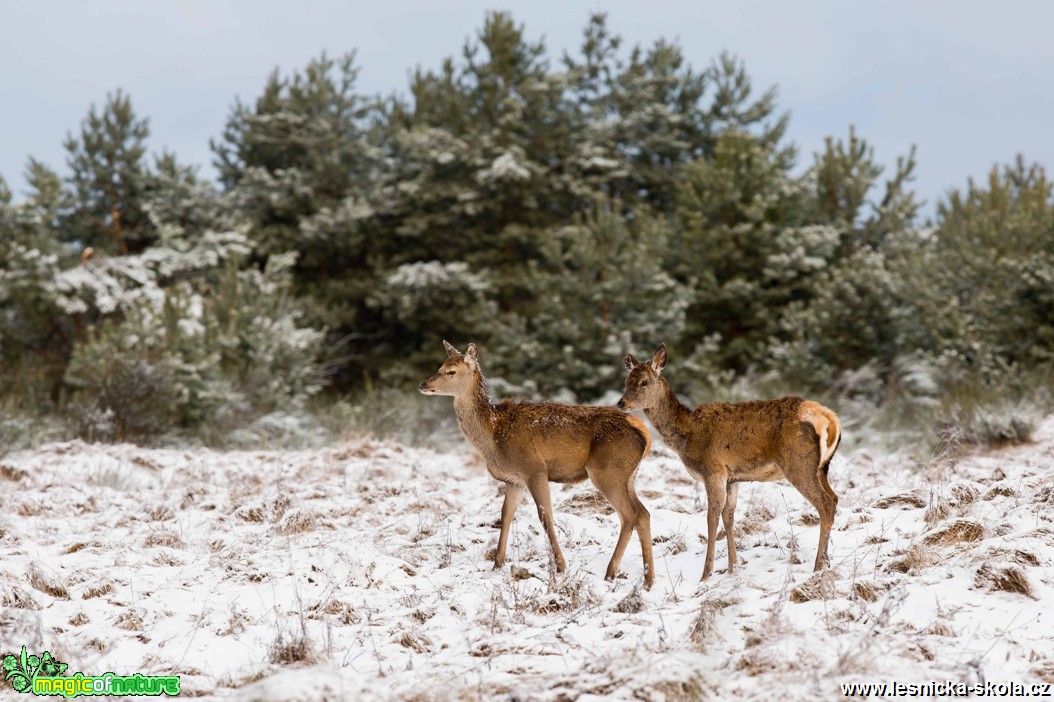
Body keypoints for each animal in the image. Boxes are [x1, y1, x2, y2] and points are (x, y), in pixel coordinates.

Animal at [421, 339, 653, 586]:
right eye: (439, 366)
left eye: (451, 371)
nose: (423, 384)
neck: (493, 435)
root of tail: (644, 432)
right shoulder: (513, 480)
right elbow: (505, 516)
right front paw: (497, 564)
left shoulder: (534, 469)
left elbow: (545, 518)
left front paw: (561, 567)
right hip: (628, 475)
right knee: (643, 513)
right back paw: (648, 579)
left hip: (608, 471)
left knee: (630, 515)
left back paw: (611, 573)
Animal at [615, 341, 838, 577]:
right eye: (626, 381)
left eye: (644, 382)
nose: (621, 403)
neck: (687, 434)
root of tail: (829, 419)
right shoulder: (731, 478)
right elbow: (728, 517)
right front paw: (733, 567)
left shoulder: (713, 470)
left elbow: (711, 518)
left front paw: (706, 573)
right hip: (821, 468)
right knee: (834, 499)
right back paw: (826, 562)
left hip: (798, 463)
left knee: (824, 504)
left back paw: (818, 566)